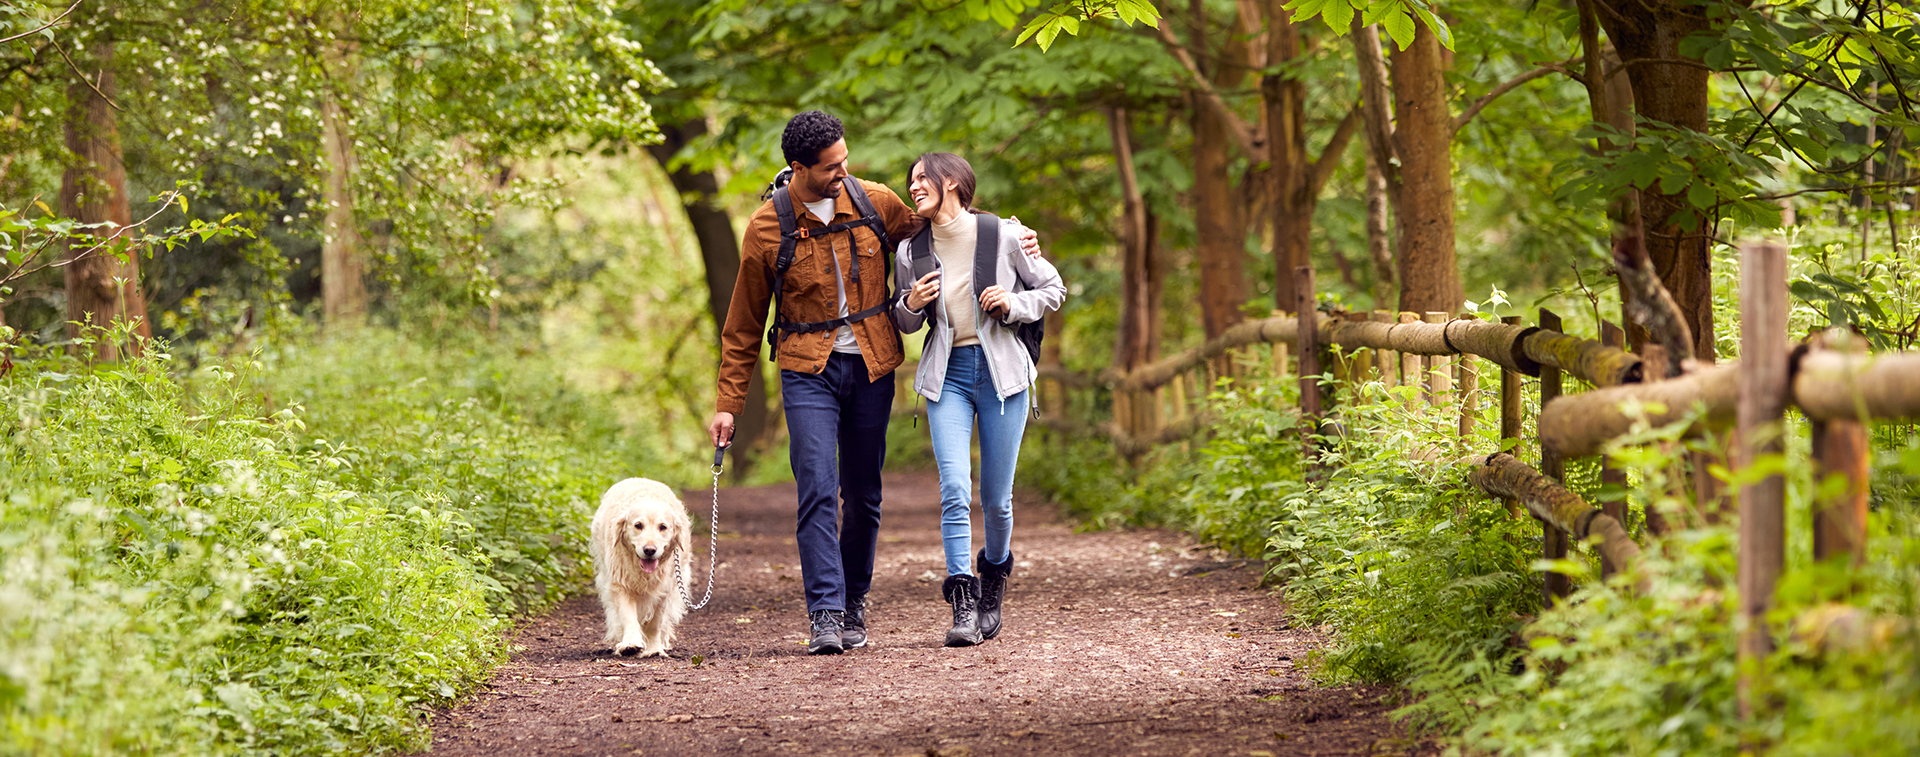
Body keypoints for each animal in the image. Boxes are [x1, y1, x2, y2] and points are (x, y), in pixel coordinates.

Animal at [595, 478, 702, 657]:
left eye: (663, 527)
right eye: (638, 525)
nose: (649, 550)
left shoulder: (663, 589)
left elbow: (655, 622)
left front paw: (653, 648)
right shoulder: (621, 584)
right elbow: (628, 616)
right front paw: (630, 644)